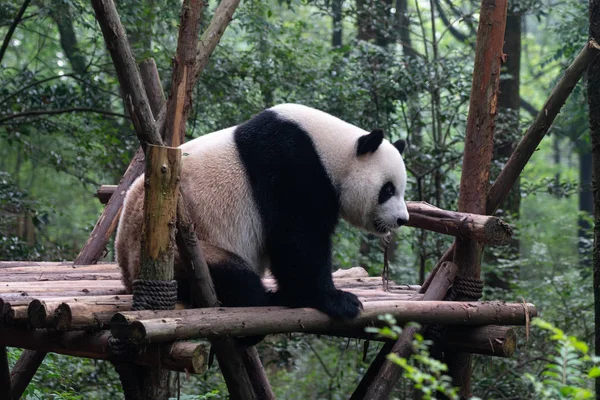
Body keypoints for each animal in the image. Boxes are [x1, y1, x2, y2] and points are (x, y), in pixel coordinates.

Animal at [113, 102, 408, 322]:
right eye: (388, 189)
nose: (402, 219)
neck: (333, 150)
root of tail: (127, 274)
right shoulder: (291, 167)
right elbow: (298, 241)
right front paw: (339, 300)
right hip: (184, 254)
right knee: (235, 278)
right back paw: (273, 298)